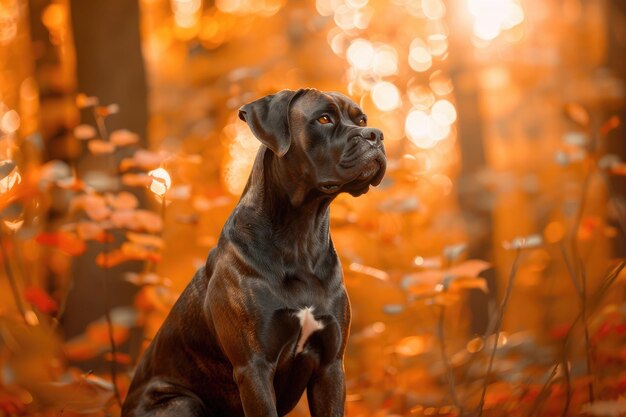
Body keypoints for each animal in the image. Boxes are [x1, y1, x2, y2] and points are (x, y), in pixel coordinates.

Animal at [122, 88, 386, 416]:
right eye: (324, 119)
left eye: (361, 120)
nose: (375, 134)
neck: (300, 237)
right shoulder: (254, 368)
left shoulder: (330, 367)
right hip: (182, 403)